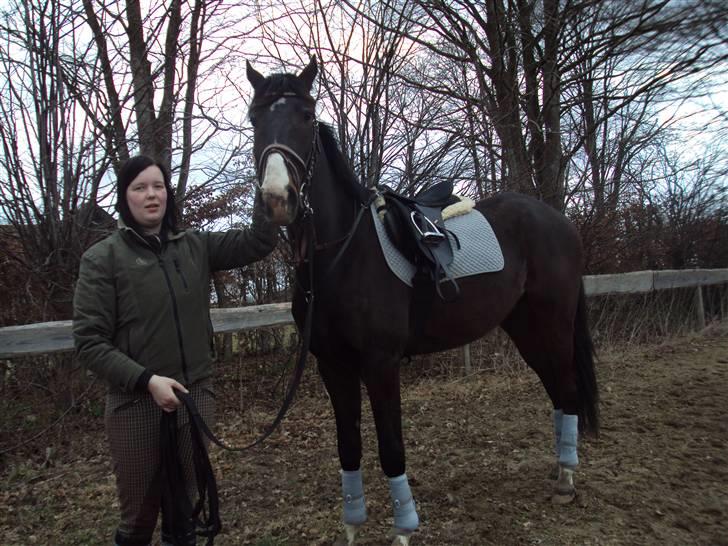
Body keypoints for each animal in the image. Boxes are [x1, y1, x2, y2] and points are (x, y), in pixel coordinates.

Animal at [245, 56, 596, 544]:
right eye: (255, 118)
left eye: (306, 116)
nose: (279, 199)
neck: (341, 254)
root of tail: (557, 219)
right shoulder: (332, 364)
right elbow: (348, 446)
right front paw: (352, 527)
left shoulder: (381, 362)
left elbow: (391, 448)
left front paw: (403, 530)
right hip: (525, 326)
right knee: (556, 387)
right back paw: (559, 468)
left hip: (555, 322)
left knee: (566, 385)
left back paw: (566, 480)